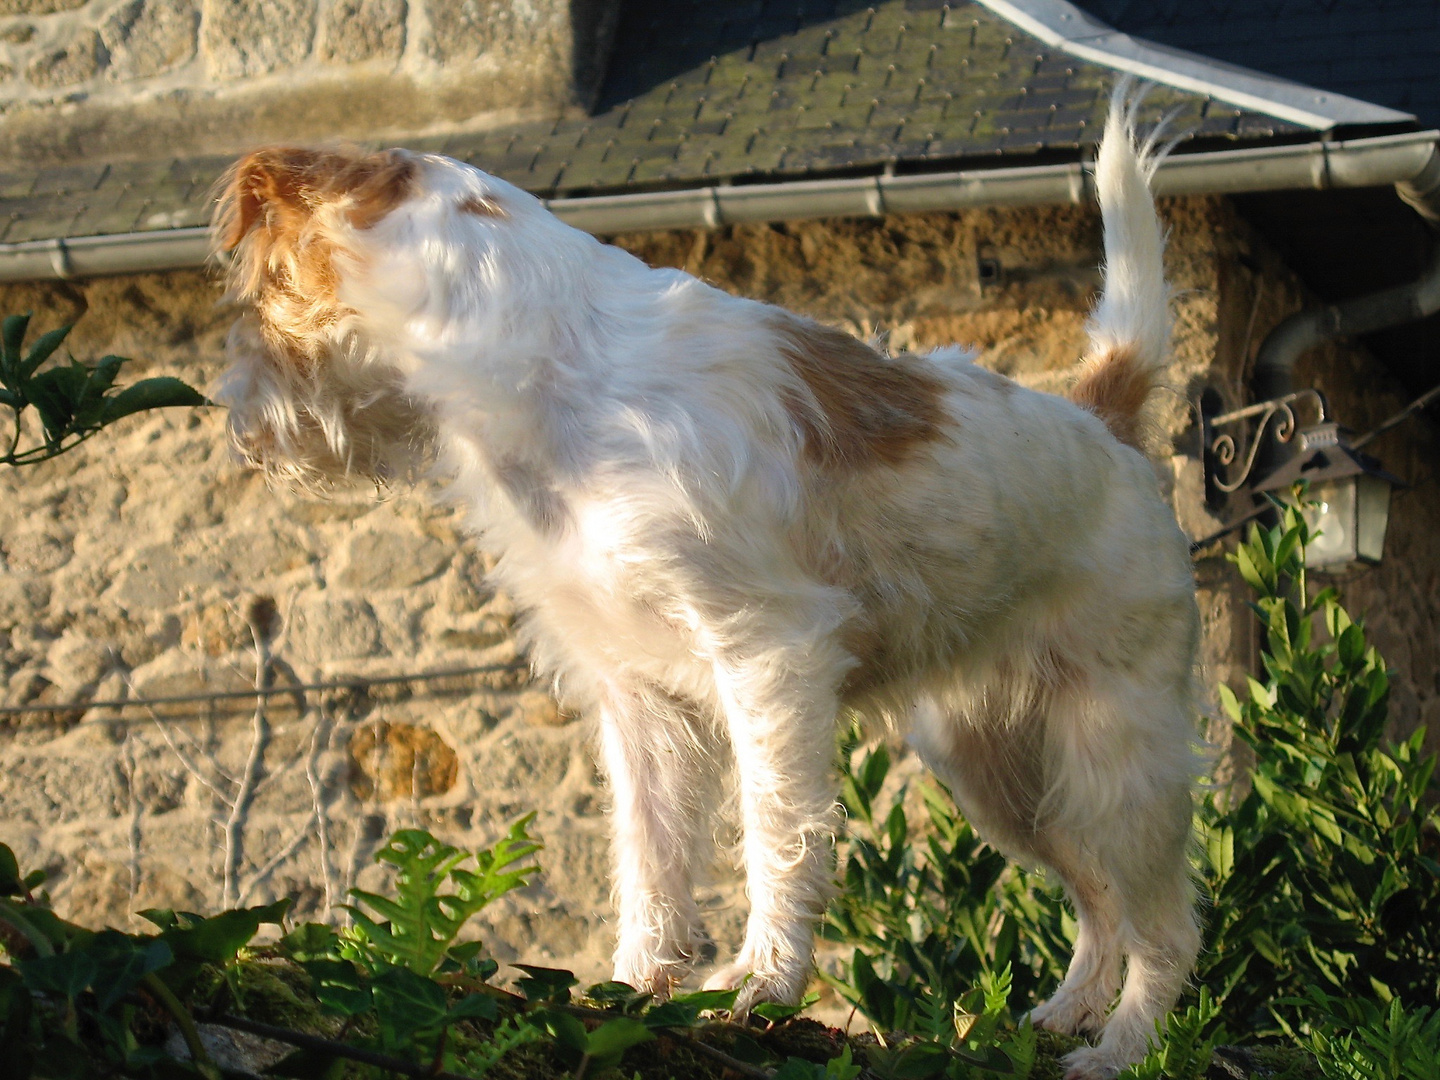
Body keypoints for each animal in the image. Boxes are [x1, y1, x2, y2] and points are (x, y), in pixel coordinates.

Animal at [213, 86, 1203, 1080]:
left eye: (257, 288)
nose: (237, 428)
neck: (552, 361)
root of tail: (1102, 422)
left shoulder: (767, 657)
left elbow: (776, 832)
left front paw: (762, 985)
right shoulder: (634, 693)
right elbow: (649, 854)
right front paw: (634, 986)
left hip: (1118, 757)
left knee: (1166, 926)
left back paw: (1121, 1049)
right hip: (1000, 770)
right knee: (1101, 901)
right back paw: (1065, 1016)